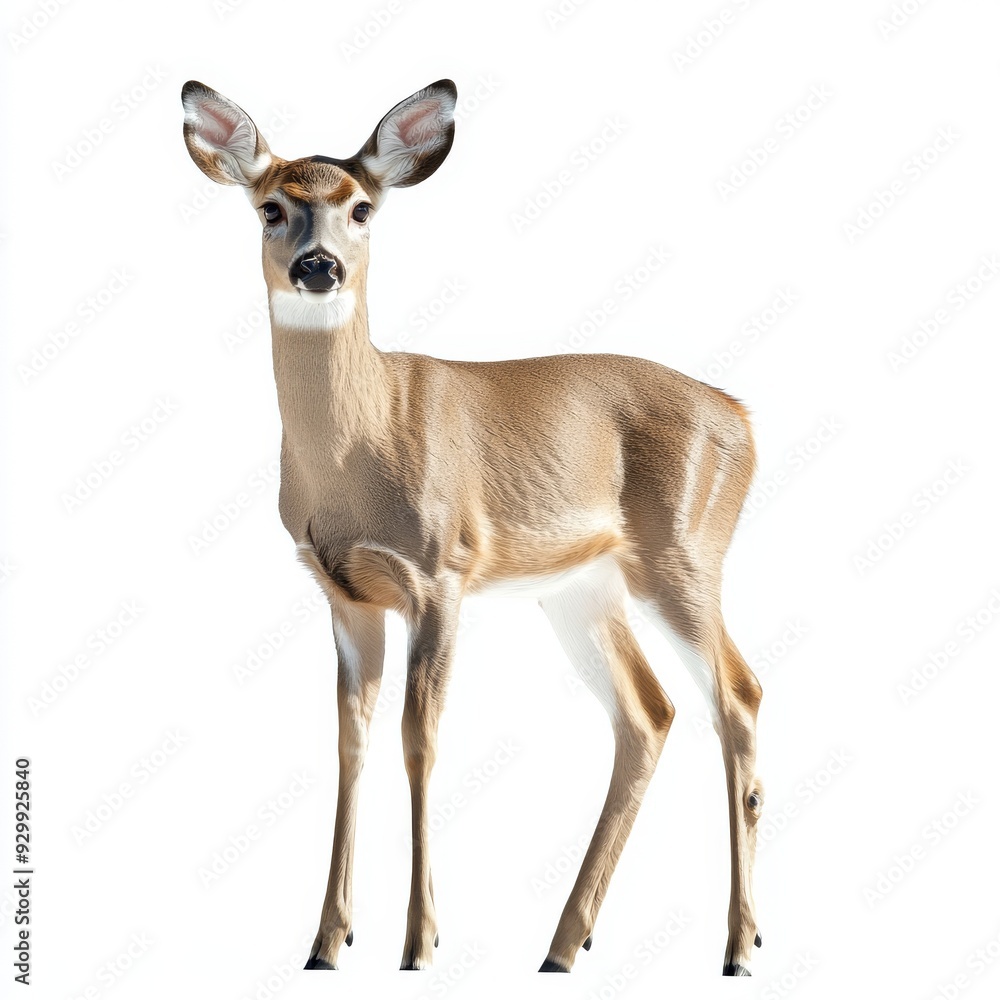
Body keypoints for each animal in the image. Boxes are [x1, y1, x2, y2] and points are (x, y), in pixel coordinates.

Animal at [181, 78, 764, 977]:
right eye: (271, 207)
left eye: (362, 207)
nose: (319, 267)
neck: (358, 450)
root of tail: (743, 417)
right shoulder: (343, 592)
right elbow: (351, 739)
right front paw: (326, 942)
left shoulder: (441, 572)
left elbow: (420, 737)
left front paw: (419, 943)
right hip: (582, 588)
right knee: (649, 712)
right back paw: (563, 944)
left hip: (685, 554)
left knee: (737, 694)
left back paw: (737, 945)